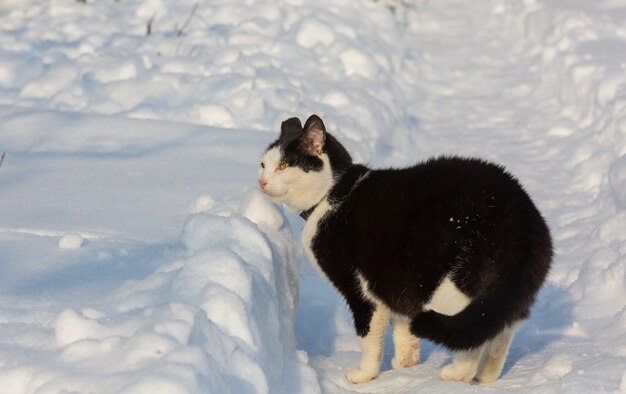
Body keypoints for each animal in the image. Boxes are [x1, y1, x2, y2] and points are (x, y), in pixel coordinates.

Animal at [258, 114, 552, 384]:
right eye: (263, 164)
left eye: (284, 165)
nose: (261, 181)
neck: (332, 195)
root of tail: (522, 218)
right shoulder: (394, 281)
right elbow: (401, 324)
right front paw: (406, 363)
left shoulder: (361, 289)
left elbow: (368, 335)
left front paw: (364, 375)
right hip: (508, 288)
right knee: (498, 329)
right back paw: (486, 376)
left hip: (453, 286)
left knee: (472, 333)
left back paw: (457, 373)